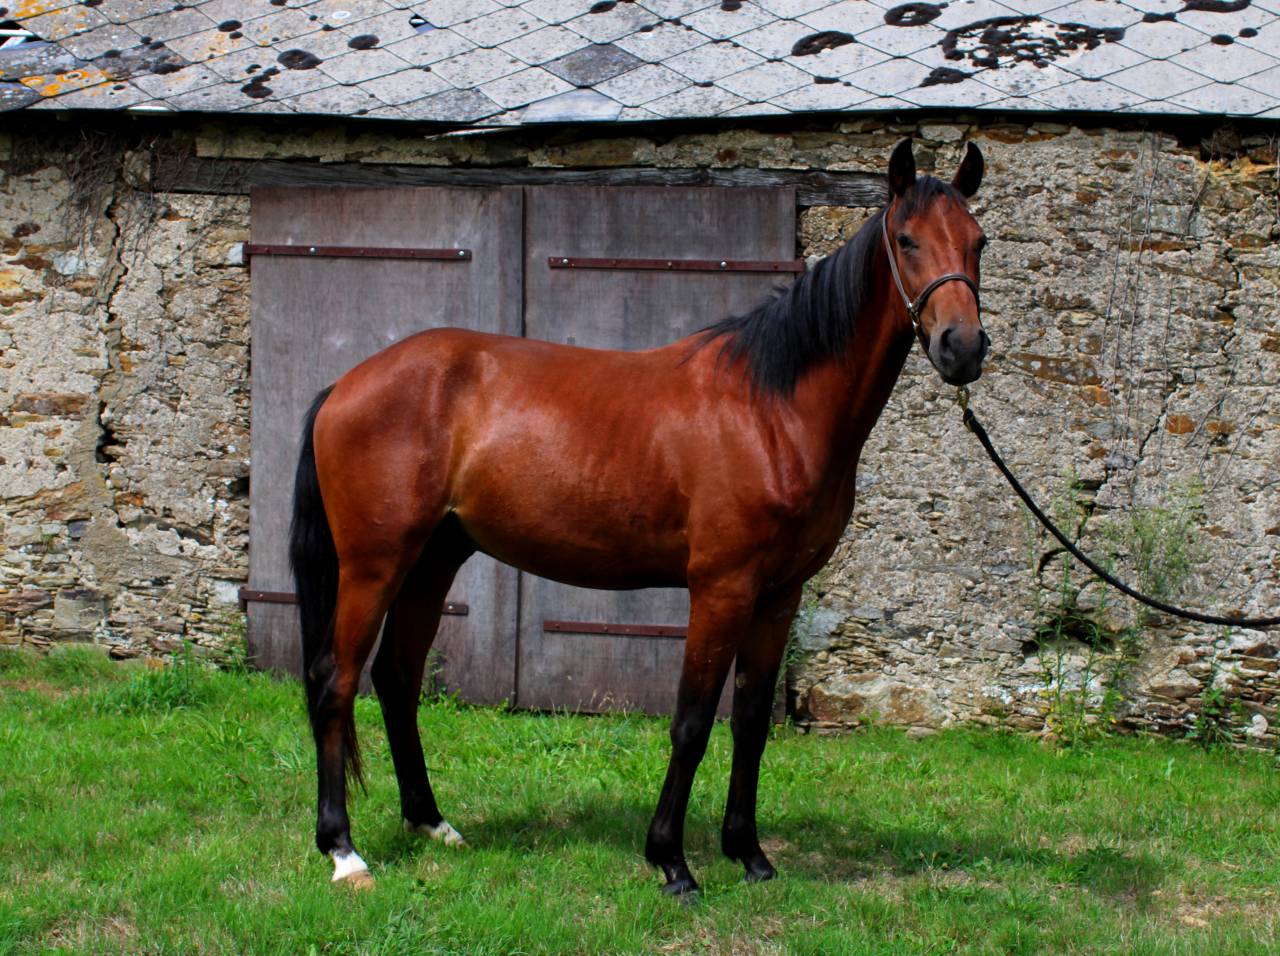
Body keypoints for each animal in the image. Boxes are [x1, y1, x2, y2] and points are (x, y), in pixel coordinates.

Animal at [289, 138, 989, 894]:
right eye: (907, 239)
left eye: (978, 241)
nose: (962, 347)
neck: (770, 410)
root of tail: (345, 384)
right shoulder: (721, 589)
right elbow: (691, 721)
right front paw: (672, 862)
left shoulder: (779, 595)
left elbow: (750, 721)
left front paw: (749, 854)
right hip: (374, 565)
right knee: (335, 681)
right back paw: (343, 850)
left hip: (432, 560)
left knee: (396, 678)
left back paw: (431, 822)